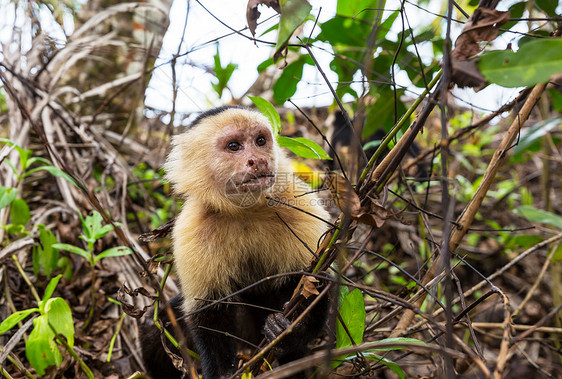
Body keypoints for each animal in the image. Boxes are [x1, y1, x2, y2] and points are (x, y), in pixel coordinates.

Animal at [139, 106, 330, 379]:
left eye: (260, 141)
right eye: (233, 146)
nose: (258, 160)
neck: (244, 210)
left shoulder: (298, 205)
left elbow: (313, 281)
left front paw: (291, 330)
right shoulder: (192, 228)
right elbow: (208, 311)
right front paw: (223, 373)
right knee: (157, 324)